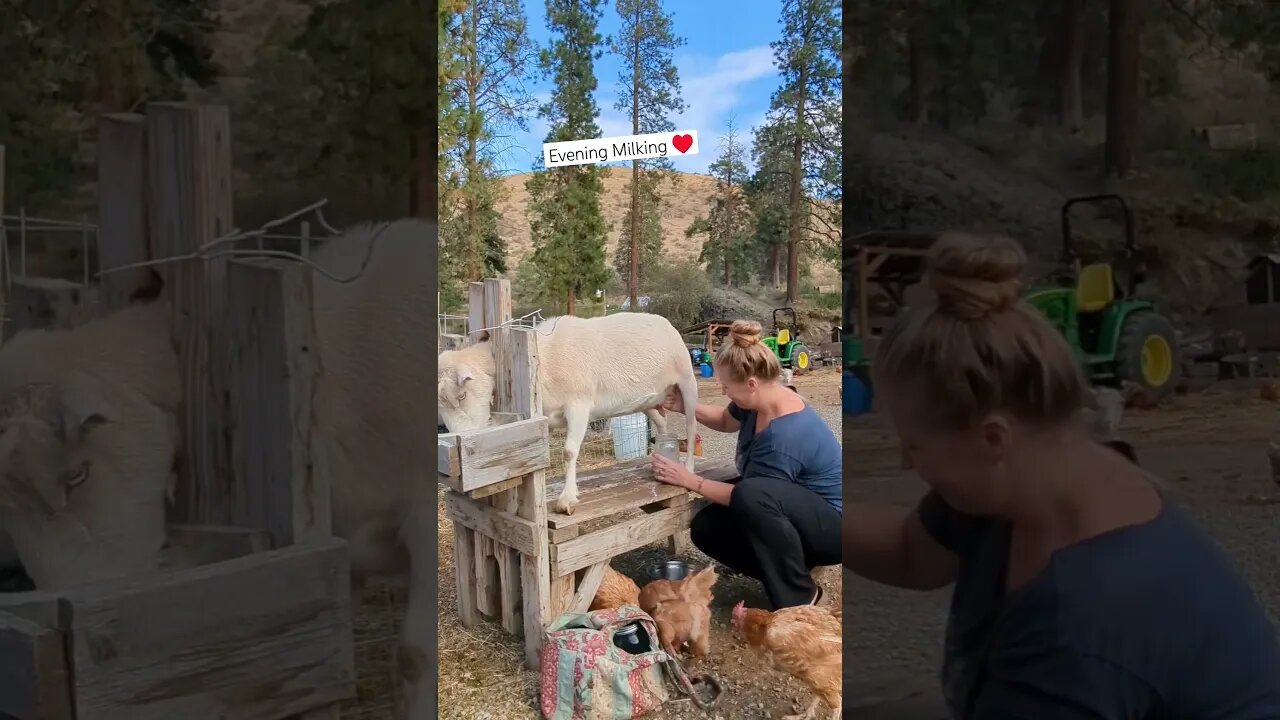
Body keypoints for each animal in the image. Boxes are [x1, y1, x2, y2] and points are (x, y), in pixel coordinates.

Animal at [440, 311, 701, 512]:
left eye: (461, 396)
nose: (463, 437)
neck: (543, 356)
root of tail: (665, 322)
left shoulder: (579, 405)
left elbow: (568, 452)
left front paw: (566, 499)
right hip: (649, 401)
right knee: (663, 424)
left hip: (687, 381)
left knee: (691, 428)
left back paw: (687, 469)